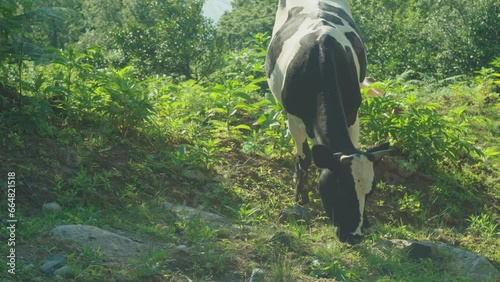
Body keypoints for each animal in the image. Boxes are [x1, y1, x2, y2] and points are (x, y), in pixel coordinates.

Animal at [266, 0, 394, 242]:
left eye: (370, 191)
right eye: (340, 188)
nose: (354, 236)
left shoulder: (352, 115)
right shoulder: (293, 118)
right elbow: (305, 158)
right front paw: (301, 198)